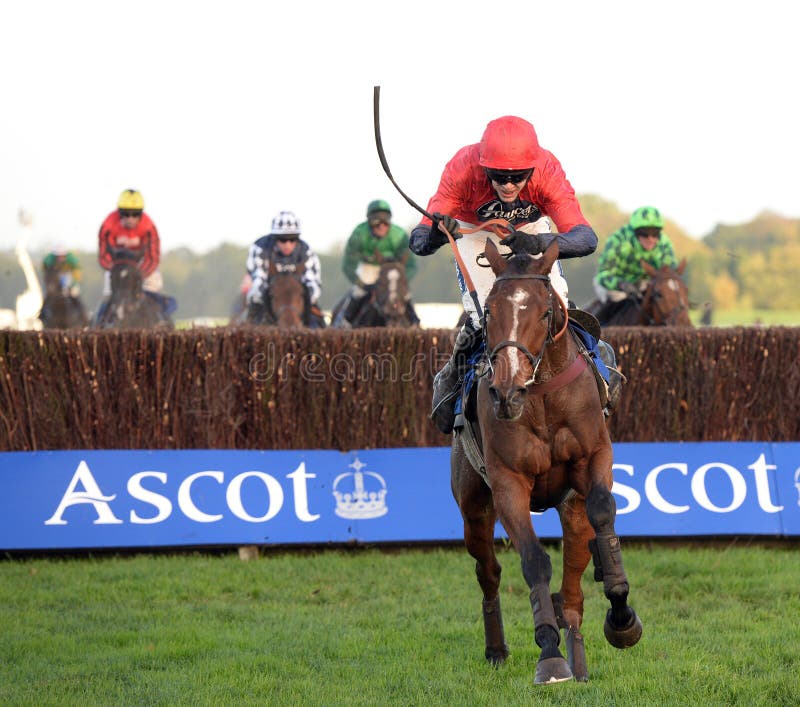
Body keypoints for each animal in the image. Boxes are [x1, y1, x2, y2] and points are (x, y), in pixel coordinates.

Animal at [454, 239, 640, 684]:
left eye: (542, 311)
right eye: (489, 311)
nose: (506, 392)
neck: (539, 396)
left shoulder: (594, 457)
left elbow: (603, 511)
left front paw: (622, 615)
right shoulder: (508, 482)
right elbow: (534, 560)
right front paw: (549, 655)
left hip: (570, 509)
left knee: (573, 582)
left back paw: (578, 648)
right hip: (473, 508)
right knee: (488, 571)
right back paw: (498, 648)